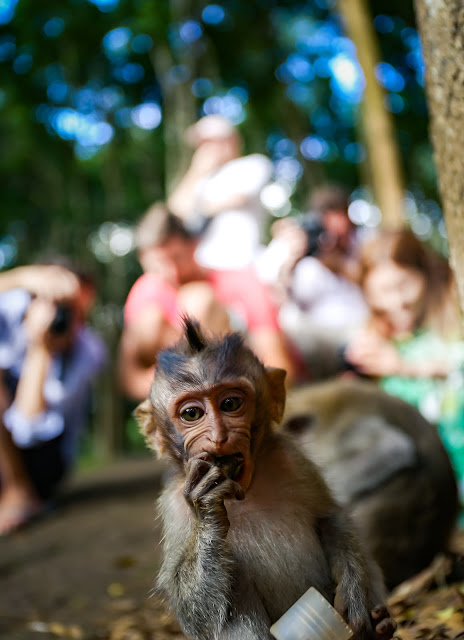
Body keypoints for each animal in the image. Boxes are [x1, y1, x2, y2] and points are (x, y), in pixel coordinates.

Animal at [137, 318, 396, 640]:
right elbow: (195, 612)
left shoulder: (291, 459)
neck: (245, 491)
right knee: (231, 601)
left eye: (231, 403)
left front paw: (352, 595)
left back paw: (379, 628)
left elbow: (329, 516)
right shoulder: (173, 504)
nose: (219, 436)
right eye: (192, 413)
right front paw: (208, 510)